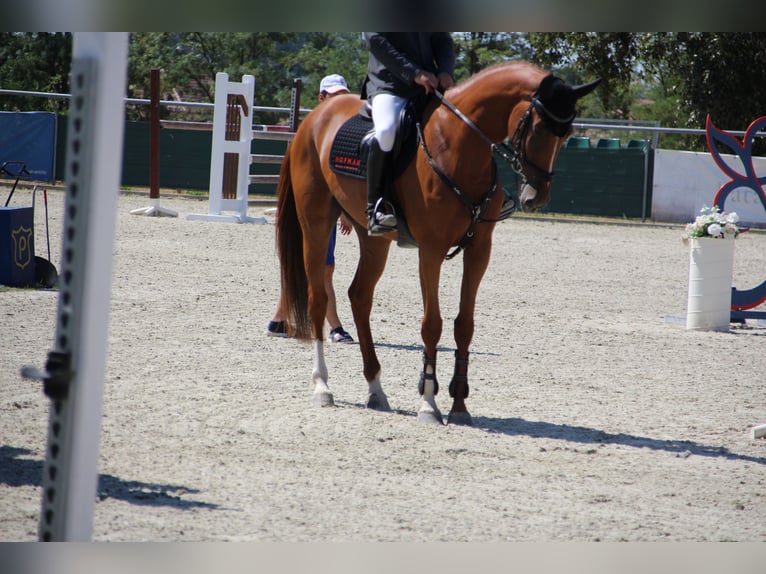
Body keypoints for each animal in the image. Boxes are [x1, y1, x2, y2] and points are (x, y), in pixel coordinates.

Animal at [274, 60, 600, 426]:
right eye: (540, 129)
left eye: (567, 135)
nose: (536, 196)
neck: (459, 145)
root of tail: (313, 119)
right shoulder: (431, 250)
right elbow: (432, 324)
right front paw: (429, 402)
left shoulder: (479, 250)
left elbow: (464, 325)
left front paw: (459, 405)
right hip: (316, 224)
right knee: (318, 298)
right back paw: (322, 387)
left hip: (373, 240)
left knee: (359, 296)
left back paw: (376, 390)